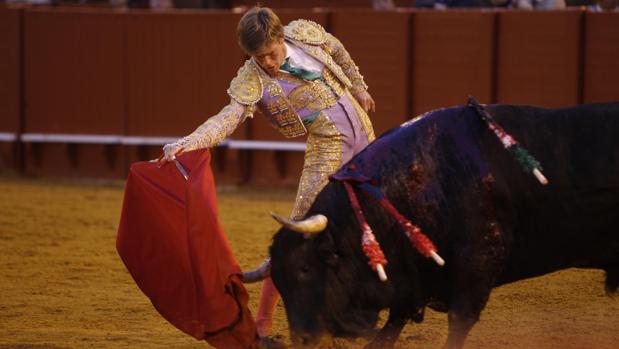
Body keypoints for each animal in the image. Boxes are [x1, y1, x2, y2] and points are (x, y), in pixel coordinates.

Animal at [270, 102, 619, 348]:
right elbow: (390, 327)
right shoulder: (412, 281)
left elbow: (458, 321)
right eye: (278, 280)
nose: (303, 340)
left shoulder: (480, 261)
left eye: (305, 269)